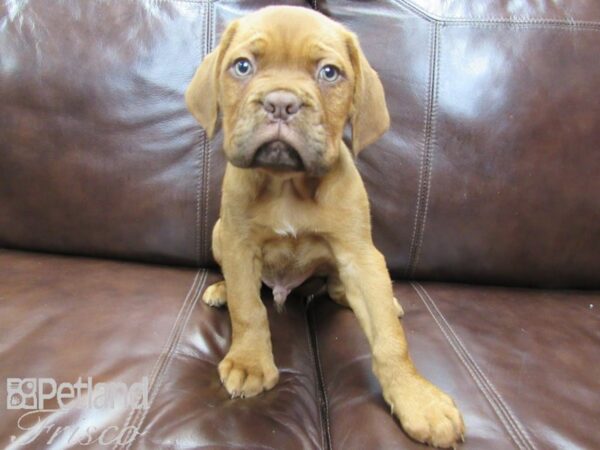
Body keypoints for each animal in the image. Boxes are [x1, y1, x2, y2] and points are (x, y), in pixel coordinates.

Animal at [186, 5, 464, 448]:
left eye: (329, 73)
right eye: (242, 66)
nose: (280, 102)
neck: (287, 184)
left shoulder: (360, 254)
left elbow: (390, 340)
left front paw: (417, 399)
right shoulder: (238, 243)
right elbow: (249, 309)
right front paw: (249, 362)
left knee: (339, 289)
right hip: (217, 233)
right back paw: (220, 289)